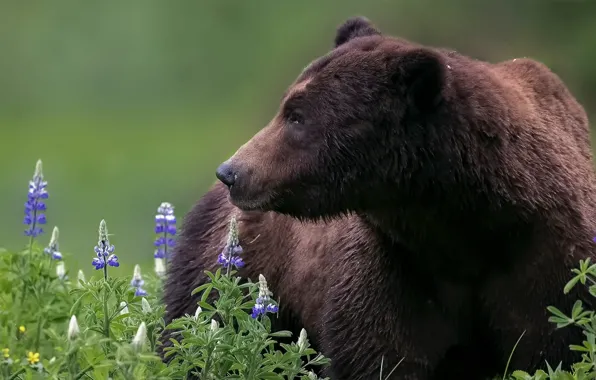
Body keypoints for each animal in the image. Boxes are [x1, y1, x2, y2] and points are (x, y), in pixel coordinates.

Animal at [164, 16, 596, 378]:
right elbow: (383, 355)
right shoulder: (393, 265)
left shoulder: (548, 263)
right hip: (234, 270)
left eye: (297, 116)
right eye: (287, 106)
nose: (232, 172)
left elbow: (551, 350)